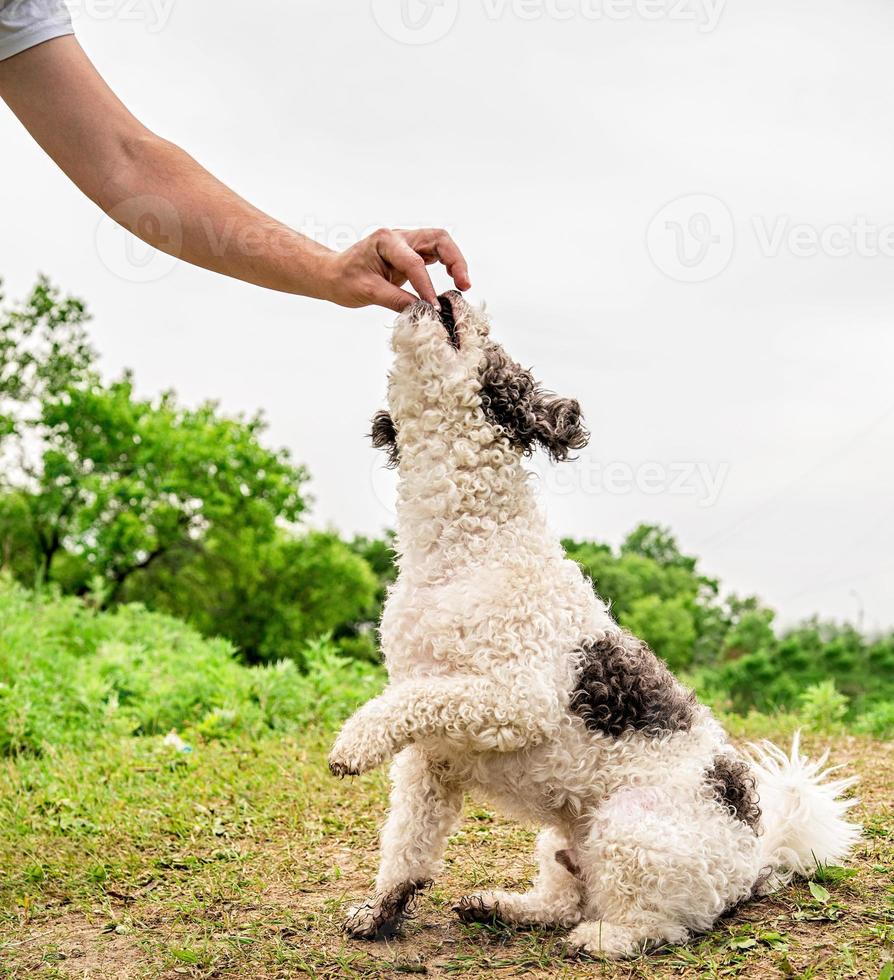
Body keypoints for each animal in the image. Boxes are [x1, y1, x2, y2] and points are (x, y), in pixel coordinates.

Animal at [328, 290, 860, 956]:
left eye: (494, 346)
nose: (450, 292)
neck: (469, 549)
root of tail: (755, 858)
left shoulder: (512, 700)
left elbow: (412, 703)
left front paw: (353, 742)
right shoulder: (434, 757)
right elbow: (407, 842)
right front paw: (381, 912)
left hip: (629, 827)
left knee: (661, 925)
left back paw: (600, 939)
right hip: (561, 839)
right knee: (565, 898)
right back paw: (504, 906)